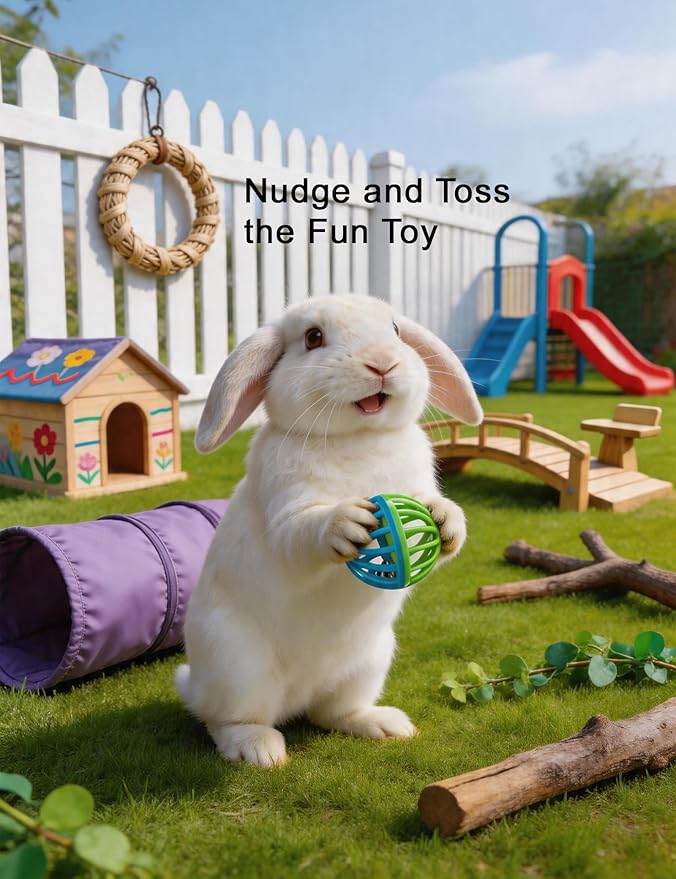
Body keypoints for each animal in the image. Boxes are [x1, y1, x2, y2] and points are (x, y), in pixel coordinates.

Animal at [175, 293, 482, 767]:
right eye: (313, 337)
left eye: (396, 330)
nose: (383, 363)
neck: (359, 437)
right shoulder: (287, 510)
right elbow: (302, 533)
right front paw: (348, 522)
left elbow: (433, 511)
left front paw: (445, 519)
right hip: (237, 667)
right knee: (226, 720)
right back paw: (258, 751)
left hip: (370, 661)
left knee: (331, 712)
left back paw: (384, 725)